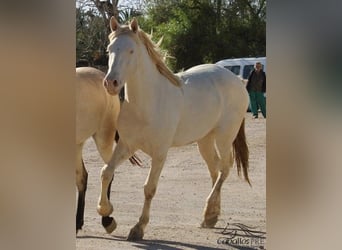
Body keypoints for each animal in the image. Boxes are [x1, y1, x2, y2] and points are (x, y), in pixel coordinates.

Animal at [97, 17, 250, 240]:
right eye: (109, 50)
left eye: (131, 51)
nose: (111, 83)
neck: (147, 103)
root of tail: (237, 80)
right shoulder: (127, 146)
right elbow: (106, 172)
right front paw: (105, 211)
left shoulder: (160, 153)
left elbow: (149, 188)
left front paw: (138, 227)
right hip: (205, 140)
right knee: (215, 170)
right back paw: (211, 216)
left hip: (224, 137)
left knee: (225, 167)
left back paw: (210, 213)